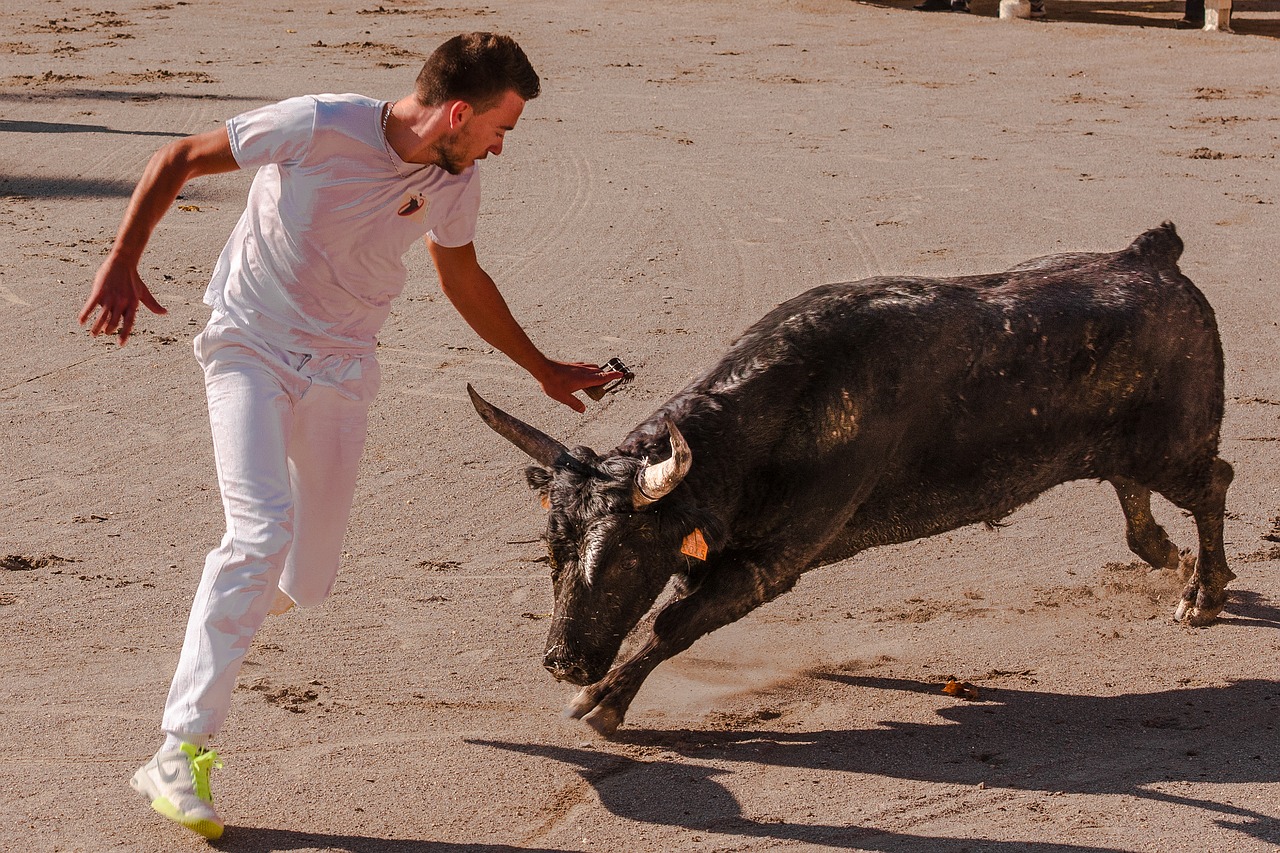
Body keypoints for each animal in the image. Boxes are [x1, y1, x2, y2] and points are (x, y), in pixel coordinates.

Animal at [468, 222, 1228, 732]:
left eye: (626, 556)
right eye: (552, 552)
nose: (563, 662)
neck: (774, 416)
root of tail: (1149, 256)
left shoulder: (772, 562)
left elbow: (672, 620)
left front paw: (603, 701)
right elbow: (676, 609)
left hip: (1174, 446)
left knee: (1212, 484)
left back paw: (1204, 593)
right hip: (1127, 448)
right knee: (1135, 495)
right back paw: (1170, 559)